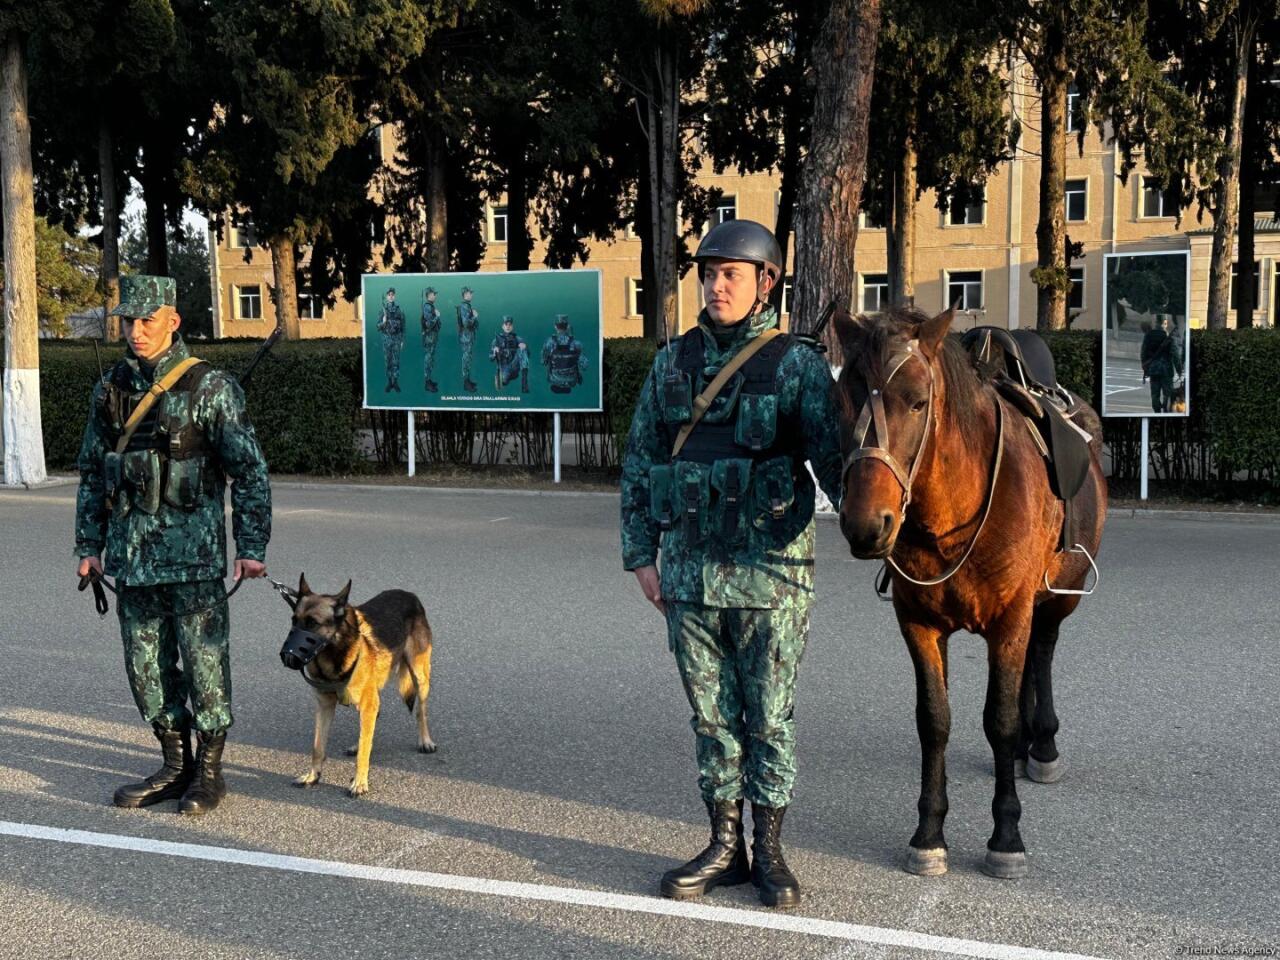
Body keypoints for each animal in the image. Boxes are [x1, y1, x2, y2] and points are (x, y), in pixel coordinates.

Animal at [282, 578, 437, 798]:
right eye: (294, 621)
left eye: (313, 623)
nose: (288, 656)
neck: (334, 656)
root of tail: (409, 594)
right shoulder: (325, 706)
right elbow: (318, 747)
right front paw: (313, 776)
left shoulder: (366, 703)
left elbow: (364, 752)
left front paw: (360, 783)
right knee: (373, 721)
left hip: (419, 675)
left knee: (420, 710)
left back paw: (425, 741)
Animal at [834, 305, 1105, 880]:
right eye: (843, 399)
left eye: (917, 400)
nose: (866, 525)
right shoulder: (918, 624)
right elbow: (934, 720)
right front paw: (929, 832)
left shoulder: (1011, 619)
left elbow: (999, 720)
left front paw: (1006, 835)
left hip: (1059, 597)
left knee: (1042, 652)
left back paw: (1041, 744)